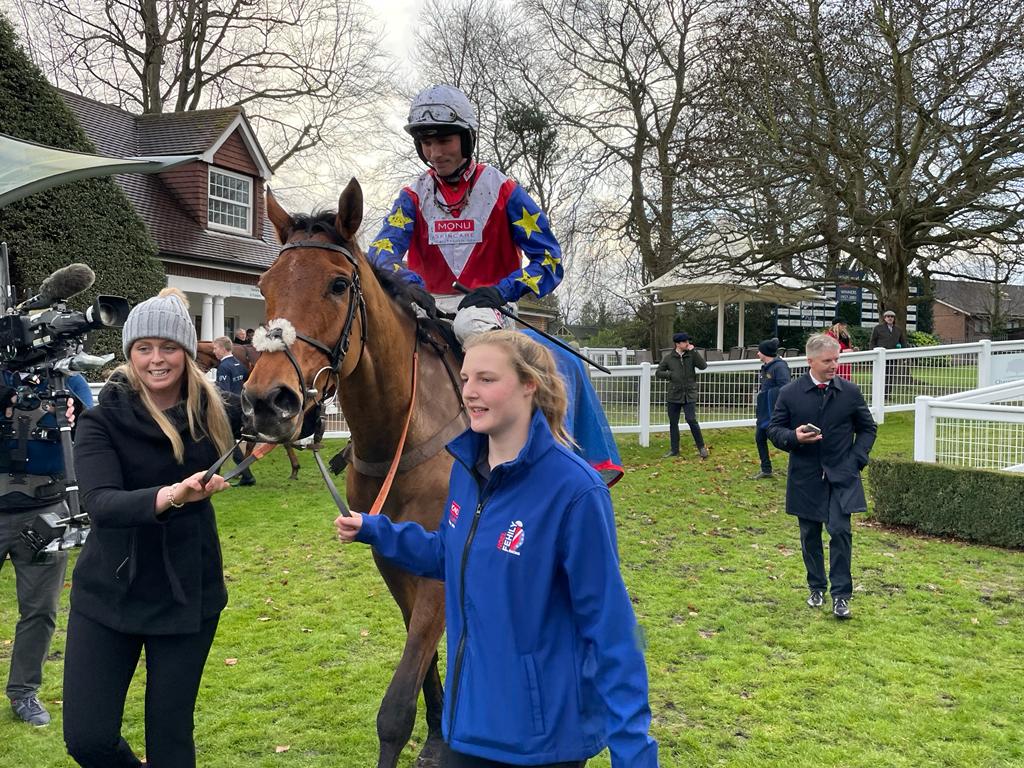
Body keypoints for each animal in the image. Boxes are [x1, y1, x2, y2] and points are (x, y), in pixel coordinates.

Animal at [239, 179, 464, 768]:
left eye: (338, 284)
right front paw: (438, 733)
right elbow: (424, 660)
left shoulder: (441, 563)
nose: (267, 401)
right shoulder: (393, 557)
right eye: (264, 285)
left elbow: (396, 706)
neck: (401, 434)